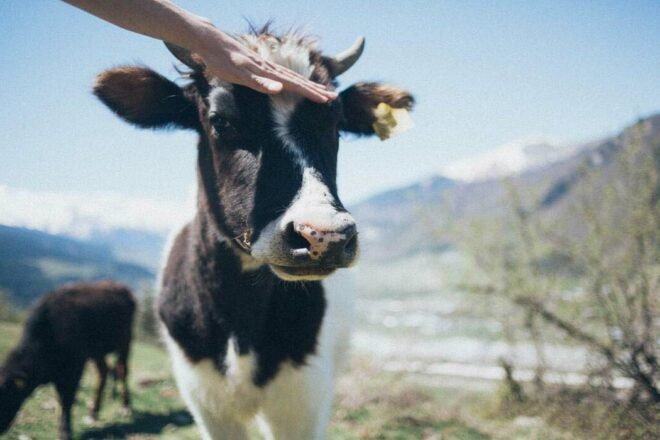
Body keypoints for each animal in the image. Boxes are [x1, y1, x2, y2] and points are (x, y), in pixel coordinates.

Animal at [0, 281, 135, 440]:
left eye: (4, 395)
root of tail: (121, 286)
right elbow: (61, 399)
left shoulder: (75, 368)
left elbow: (67, 399)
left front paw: (65, 431)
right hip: (97, 352)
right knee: (103, 372)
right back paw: (93, 413)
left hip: (125, 341)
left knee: (122, 370)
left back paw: (125, 408)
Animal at [93, 26, 414, 439]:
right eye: (220, 120)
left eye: (335, 124)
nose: (325, 236)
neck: (240, 318)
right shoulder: (205, 399)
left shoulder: (304, 398)